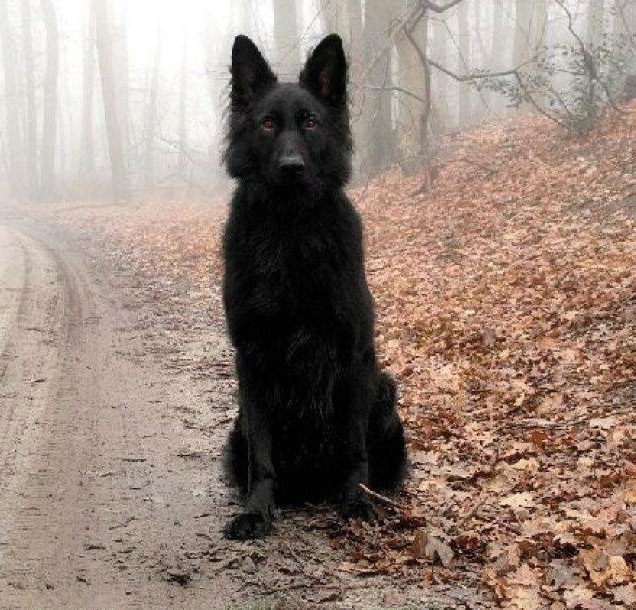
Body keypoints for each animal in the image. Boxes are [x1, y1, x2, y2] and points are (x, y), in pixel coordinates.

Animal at [221, 33, 404, 536]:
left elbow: (353, 446)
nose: (291, 166)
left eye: (309, 122)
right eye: (267, 124)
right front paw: (257, 509)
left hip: (385, 394)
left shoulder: (354, 354)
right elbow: (262, 453)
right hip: (234, 428)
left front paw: (356, 500)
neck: (291, 229)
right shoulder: (252, 358)